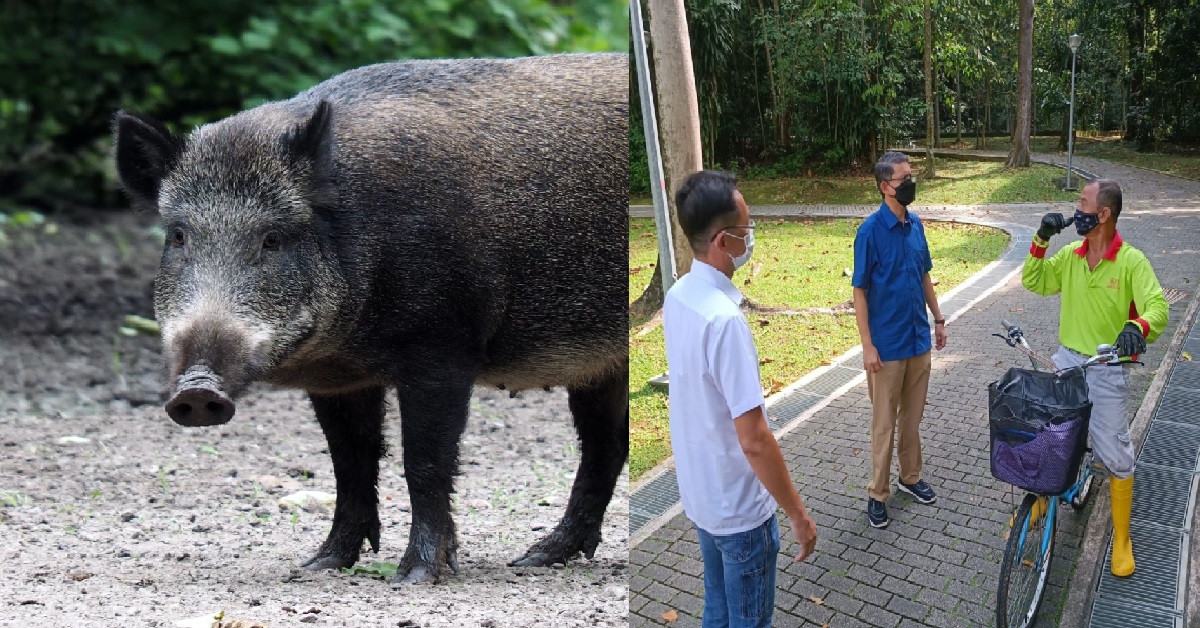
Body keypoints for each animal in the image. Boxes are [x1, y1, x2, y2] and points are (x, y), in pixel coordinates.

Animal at [112, 53, 628, 584]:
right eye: (178, 236)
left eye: (272, 238)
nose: (197, 389)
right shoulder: (336, 380)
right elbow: (350, 463)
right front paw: (319, 565)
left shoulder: (443, 348)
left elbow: (425, 460)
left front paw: (417, 576)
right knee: (605, 447)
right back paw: (536, 557)